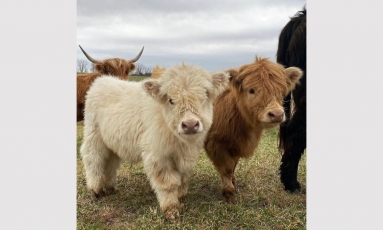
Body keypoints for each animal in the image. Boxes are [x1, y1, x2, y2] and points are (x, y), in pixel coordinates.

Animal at [81, 62, 230, 219]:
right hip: (93, 134)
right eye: (171, 100)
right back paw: (96, 189)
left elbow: (183, 179)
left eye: (205, 95)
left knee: (111, 161)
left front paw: (181, 197)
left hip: (112, 141)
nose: (190, 125)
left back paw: (110, 188)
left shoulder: (187, 156)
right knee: (93, 158)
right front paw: (171, 210)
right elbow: (168, 183)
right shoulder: (158, 156)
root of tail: (103, 80)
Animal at [202, 57, 304, 203]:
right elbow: (226, 169)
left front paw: (233, 183)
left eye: (281, 91)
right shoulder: (216, 145)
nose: (277, 114)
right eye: (251, 90)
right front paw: (229, 193)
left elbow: (233, 166)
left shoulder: (236, 146)